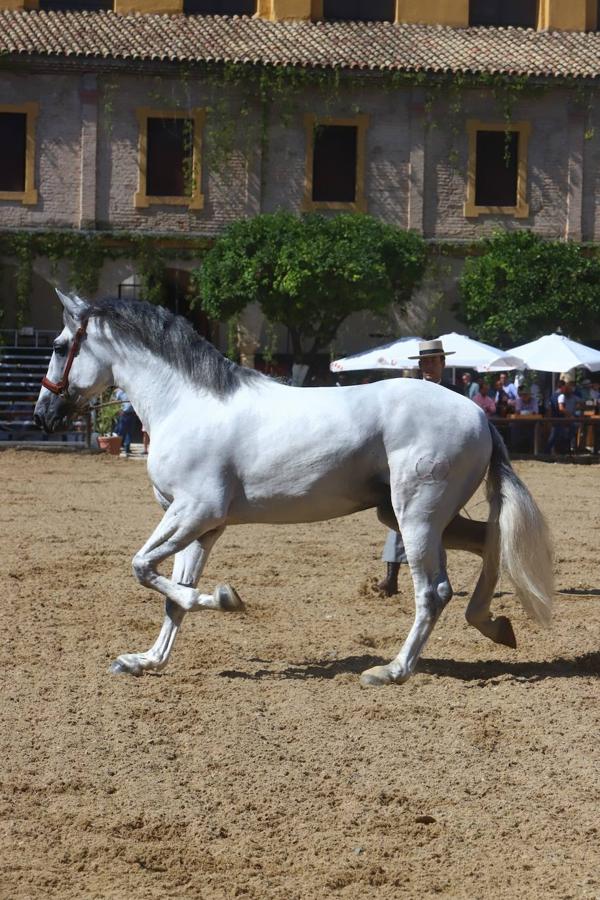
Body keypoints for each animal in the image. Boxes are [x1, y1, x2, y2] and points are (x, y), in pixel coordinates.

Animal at [36, 292, 552, 684]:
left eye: (60, 346)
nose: (43, 415)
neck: (187, 404)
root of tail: (480, 415)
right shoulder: (202, 526)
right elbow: (173, 594)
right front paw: (145, 661)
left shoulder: (195, 511)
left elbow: (145, 569)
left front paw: (227, 599)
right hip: (408, 514)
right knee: (489, 540)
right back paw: (493, 625)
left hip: (417, 515)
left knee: (434, 591)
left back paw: (392, 670)